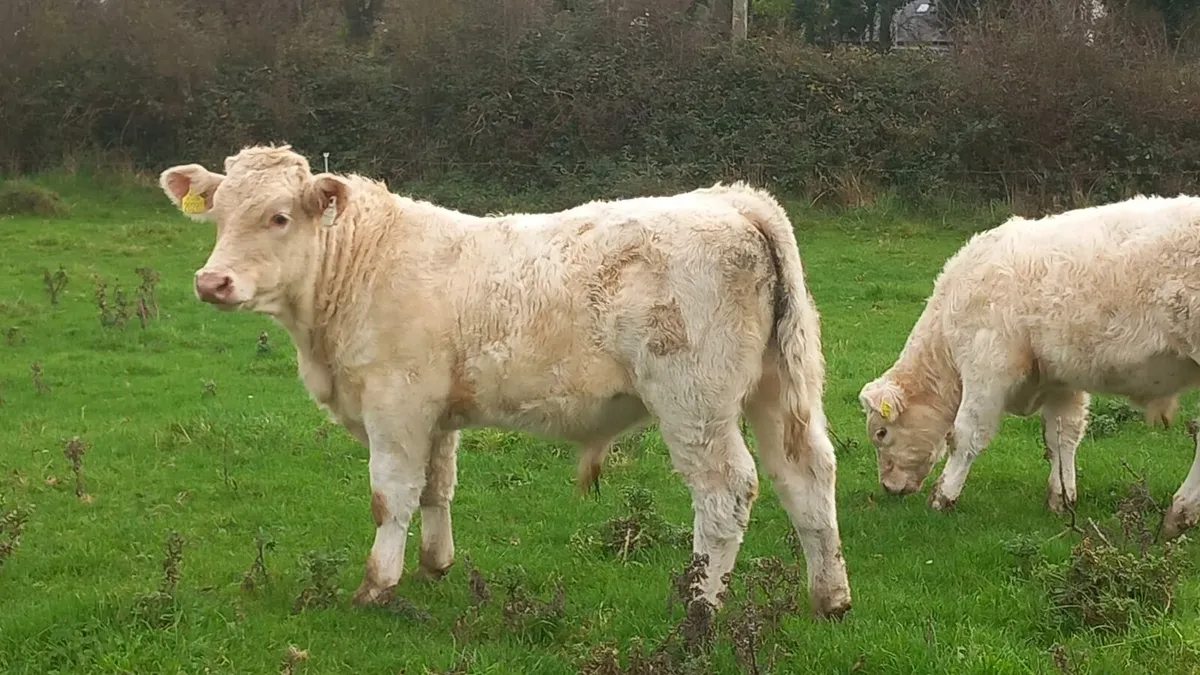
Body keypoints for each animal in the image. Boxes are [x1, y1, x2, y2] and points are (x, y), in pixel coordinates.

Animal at [157, 144, 852, 618]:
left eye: (278, 217)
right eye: (218, 214)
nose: (212, 282)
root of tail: (730, 199)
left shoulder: (395, 403)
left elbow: (391, 494)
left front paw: (376, 585)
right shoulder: (434, 410)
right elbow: (436, 486)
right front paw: (435, 565)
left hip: (694, 402)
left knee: (726, 492)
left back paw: (700, 607)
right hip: (775, 389)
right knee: (806, 474)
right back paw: (830, 598)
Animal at [858, 193, 1200, 539]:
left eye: (881, 433)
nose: (888, 487)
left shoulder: (987, 364)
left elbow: (964, 434)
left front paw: (943, 496)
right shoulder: (1062, 379)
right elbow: (1062, 435)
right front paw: (1062, 497)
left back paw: (1180, 511)